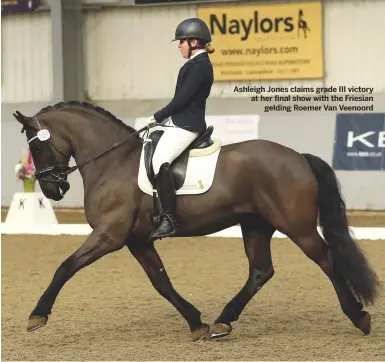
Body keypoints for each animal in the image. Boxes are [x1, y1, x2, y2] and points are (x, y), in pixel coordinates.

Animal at [12, 102, 378, 342]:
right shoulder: (136, 240)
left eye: (38, 147)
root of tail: (299, 157)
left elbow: (66, 266)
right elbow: (161, 282)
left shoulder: (109, 235)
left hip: (297, 227)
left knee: (327, 260)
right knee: (261, 271)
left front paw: (37, 315)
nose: (52, 189)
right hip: (255, 224)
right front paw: (196, 323)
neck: (112, 162)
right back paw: (222, 323)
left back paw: (359, 317)